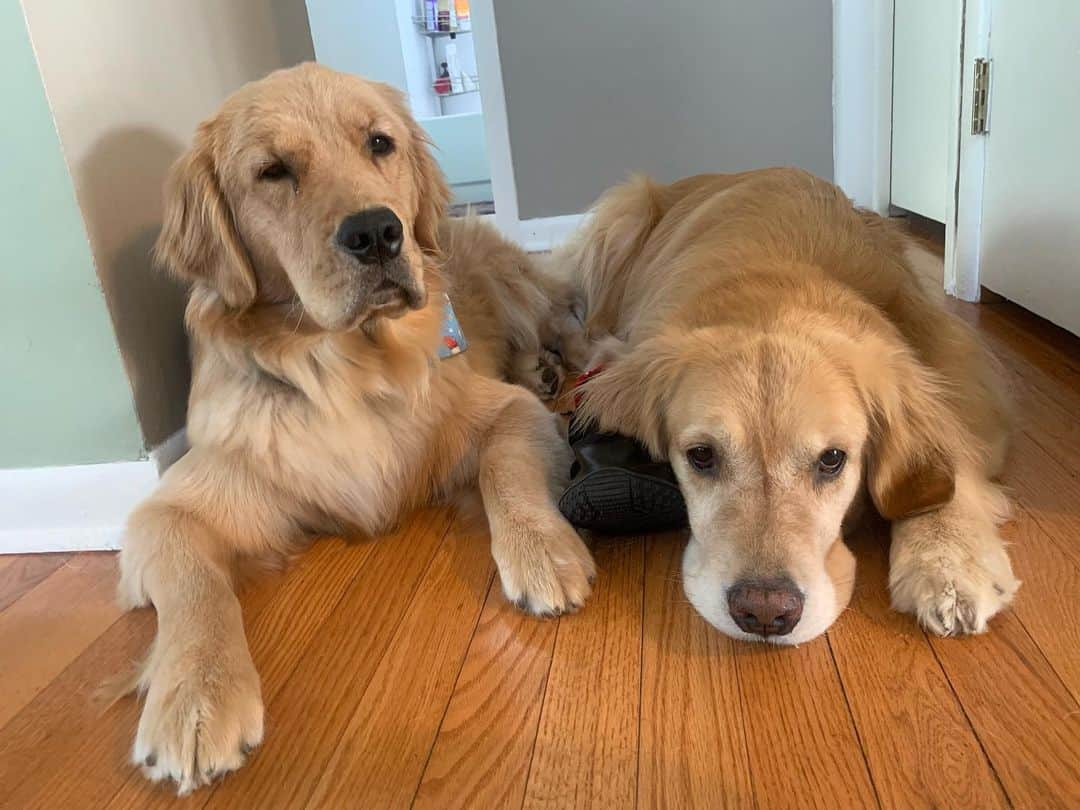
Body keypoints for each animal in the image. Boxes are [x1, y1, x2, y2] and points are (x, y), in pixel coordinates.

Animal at [122, 65, 596, 799]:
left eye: (379, 142)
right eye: (273, 171)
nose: (378, 233)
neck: (347, 367)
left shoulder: (510, 414)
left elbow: (505, 472)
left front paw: (544, 551)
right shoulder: (170, 508)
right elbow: (195, 586)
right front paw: (196, 695)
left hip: (523, 293)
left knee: (569, 327)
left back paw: (565, 364)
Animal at [561, 169, 1015, 648]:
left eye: (832, 459)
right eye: (701, 455)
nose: (764, 612)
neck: (775, 281)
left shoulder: (956, 365)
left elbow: (946, 463)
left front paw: (948, 563)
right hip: (623, 214)